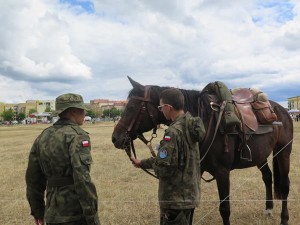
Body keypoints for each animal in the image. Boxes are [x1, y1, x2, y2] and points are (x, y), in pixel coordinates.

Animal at [111, 77, 292, 225]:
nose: (115, 138)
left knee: (284, 185)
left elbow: (225, 209)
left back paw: (284, 219)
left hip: (283, 152)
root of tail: (281, 110)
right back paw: (268, 209)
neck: (205, 122)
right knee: (267, 177)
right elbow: (190, 206)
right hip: (260, 157)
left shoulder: (222, 172)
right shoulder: (197, 169)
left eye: (131, 107)